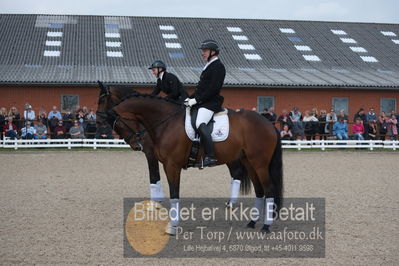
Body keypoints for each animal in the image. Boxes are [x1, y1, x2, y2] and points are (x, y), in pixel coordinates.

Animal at [100, 87, 284, 233]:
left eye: (119, 125)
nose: (136, 145)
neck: (166, 122)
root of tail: (268, 123)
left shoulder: (171, 165)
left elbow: (173, 192)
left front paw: (172, 226)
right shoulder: (159, 160)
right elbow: (157, 180)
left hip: (259, 164)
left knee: (268, 189)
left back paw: (265, 226)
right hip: (249, 162)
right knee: (259, 190)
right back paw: (252, 222)